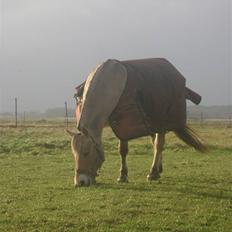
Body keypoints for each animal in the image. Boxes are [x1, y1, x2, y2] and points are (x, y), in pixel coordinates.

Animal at [66, 58, 208, 187]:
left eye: (86, 152)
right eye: (73, 154)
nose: (80, 182)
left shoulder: (126, 124)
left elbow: (127, 149)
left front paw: (127, 175)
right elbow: (123, 151)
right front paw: (123, 175)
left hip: (161, 121)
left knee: (158, 145)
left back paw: (154, 172)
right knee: (155, 142)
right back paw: (159, 169)